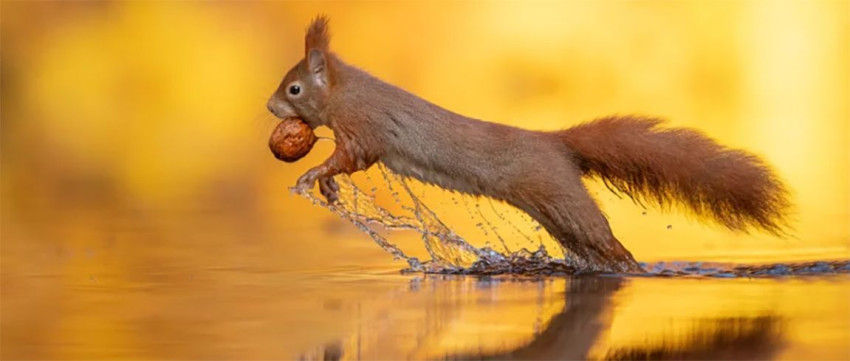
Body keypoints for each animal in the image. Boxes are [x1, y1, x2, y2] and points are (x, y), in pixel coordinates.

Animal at [264, 16, 788, 270]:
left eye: (294, 89)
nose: (269, 107)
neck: (345, 91)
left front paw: (313, 175)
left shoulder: (365, 127)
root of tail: (554, 143)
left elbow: (351, 157)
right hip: (558, 214)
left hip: (561, 197)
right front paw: (329, 188)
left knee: (608, 243)